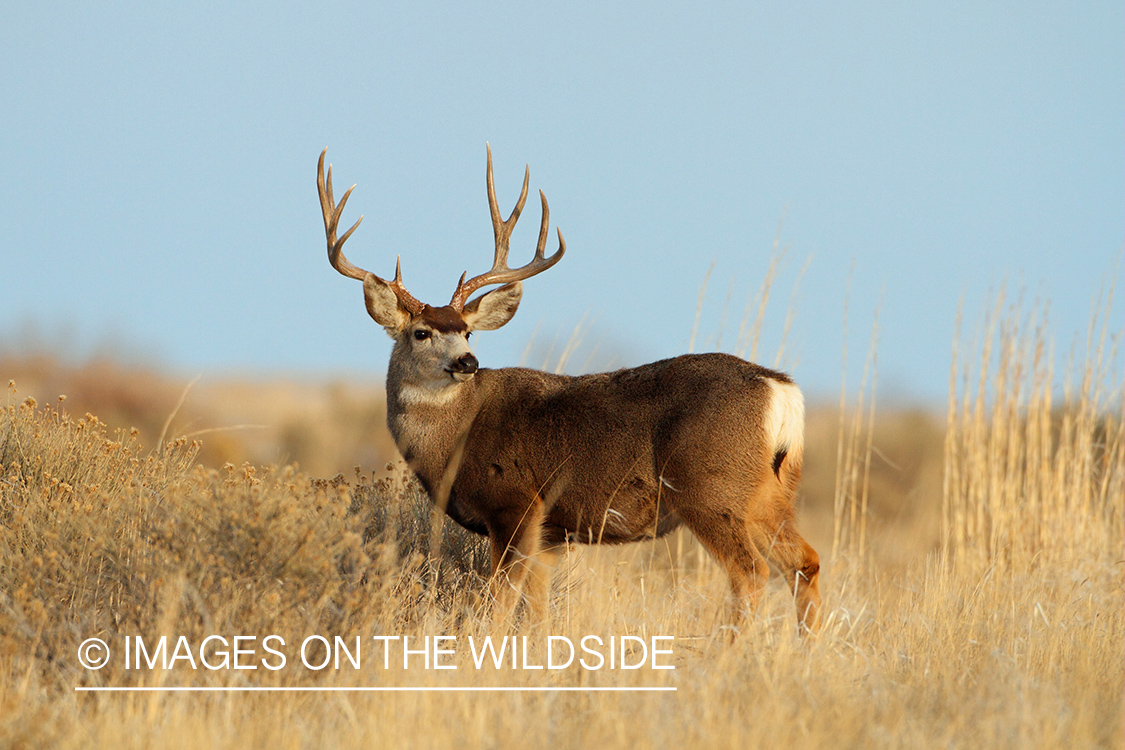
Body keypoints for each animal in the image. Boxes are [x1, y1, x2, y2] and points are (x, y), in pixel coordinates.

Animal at [315, 146, 821, 633]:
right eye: (421, 333)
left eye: (467, 332)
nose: (467, 363)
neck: (455, 438)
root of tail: (779, 390)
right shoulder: (548, 535)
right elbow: (537, 611)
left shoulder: (516, 504)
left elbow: (500, 602)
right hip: (771, 494)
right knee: (806, 563)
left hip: (711, 488)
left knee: (750, 572)